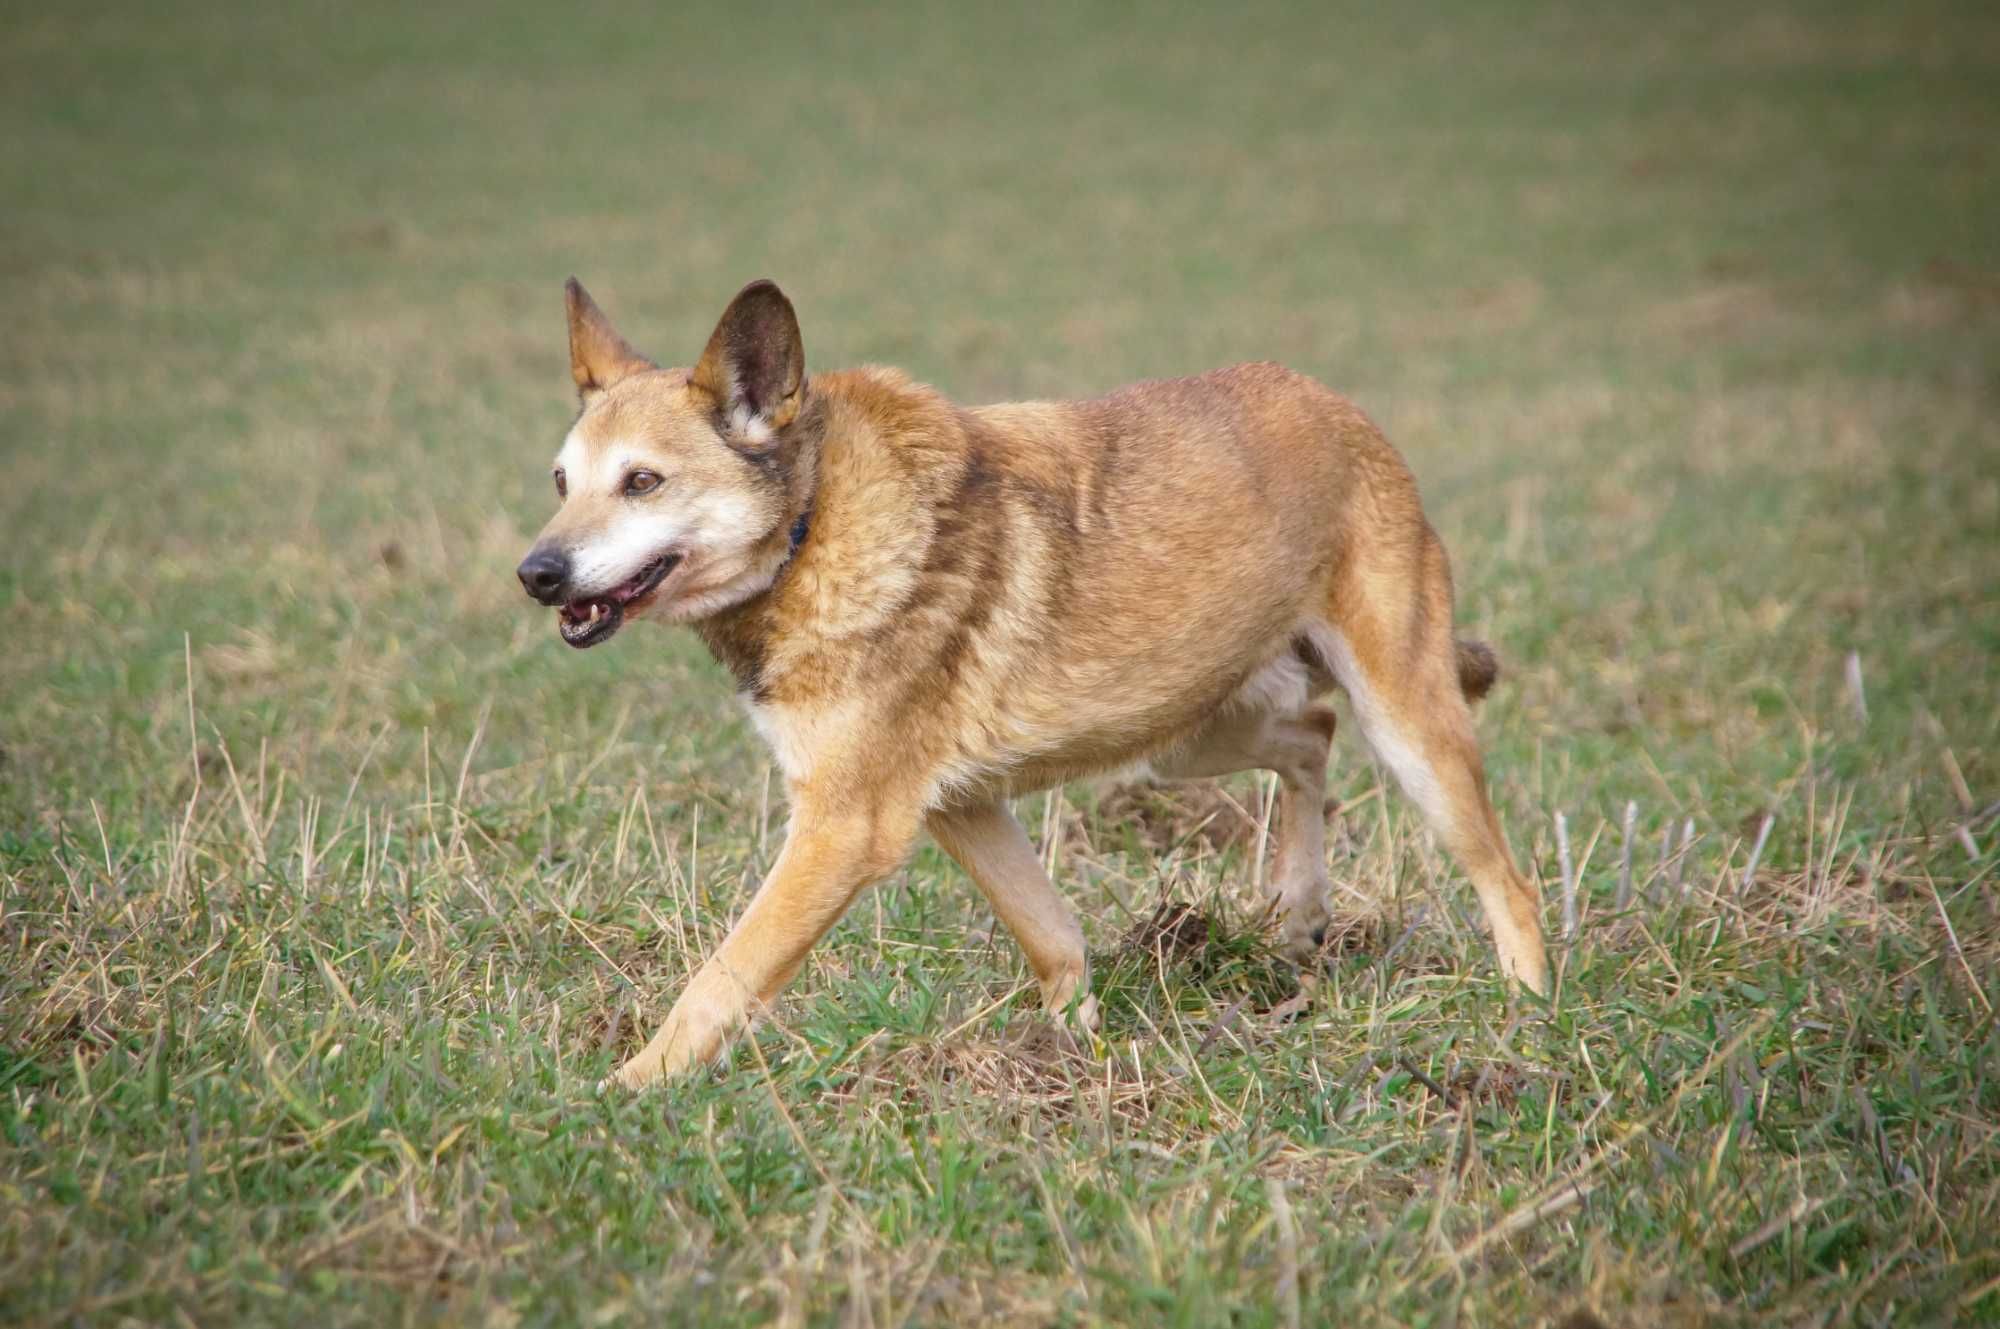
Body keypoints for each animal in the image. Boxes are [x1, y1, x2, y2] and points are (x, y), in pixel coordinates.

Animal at [516, 280, 1544, 1088]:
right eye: (562, 482)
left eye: (642, 482)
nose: (537, 573)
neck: (816, 525)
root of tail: (1342, 408)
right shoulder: (961, 808)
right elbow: (1055, 937)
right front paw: (1066, 1053)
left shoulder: (843, 831)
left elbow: (718, 980)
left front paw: (626, 1090)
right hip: (1186, 740)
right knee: (1312, 737)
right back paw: (1300, 912)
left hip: (1409, 734)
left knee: (1509, 878)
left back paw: (1530, 1020)